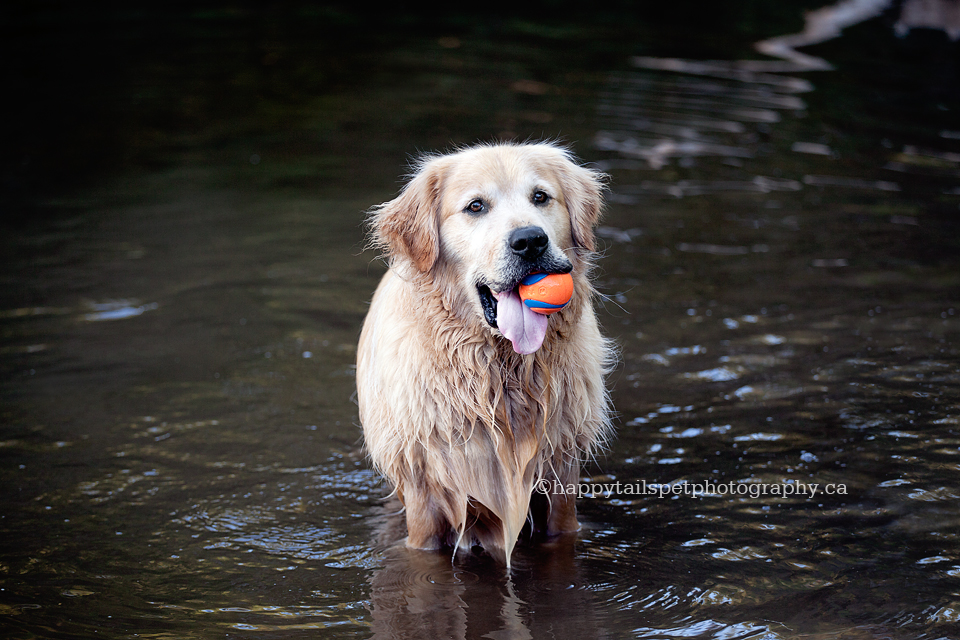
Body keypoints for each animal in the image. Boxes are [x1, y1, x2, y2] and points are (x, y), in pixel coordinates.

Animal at [354, 142, 616, 568]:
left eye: (540, 197)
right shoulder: (425, 494)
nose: (530, 241)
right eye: (475, 206)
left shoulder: (561, 479)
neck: (501, 370)